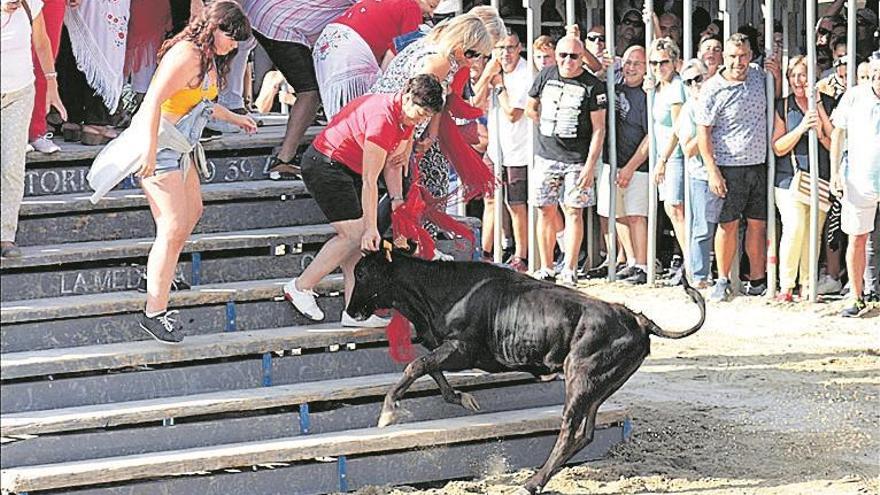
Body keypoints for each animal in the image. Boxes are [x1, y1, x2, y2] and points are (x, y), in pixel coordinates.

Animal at [348, 252, 704, 495]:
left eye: (362, 272)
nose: (351, 310)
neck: (440, 290)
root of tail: (638, 319)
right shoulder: (447, 347)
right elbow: (432, 370)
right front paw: (463, 399)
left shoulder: (463, 348)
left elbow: (417, 365)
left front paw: (388, 411)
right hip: (599, 386)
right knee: (585, 433)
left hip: (580, 378)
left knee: (568, 432)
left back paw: (532, 482)